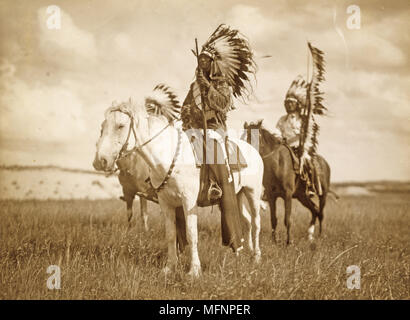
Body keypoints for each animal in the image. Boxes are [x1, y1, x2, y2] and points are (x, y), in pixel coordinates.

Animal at [94, 99, 264, 276]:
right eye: (102, 126)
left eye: (120, 126)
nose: (101, 161)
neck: (168, 157)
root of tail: (253, 149)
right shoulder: (166, 203)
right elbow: (171, 235)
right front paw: (170, 267)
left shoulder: (188, 202)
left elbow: (191, 234)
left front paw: (194, 270)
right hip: (238, 195)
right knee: (246, 221)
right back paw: (243, 252)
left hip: (252, 192)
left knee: (256, 222)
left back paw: (256, 257)